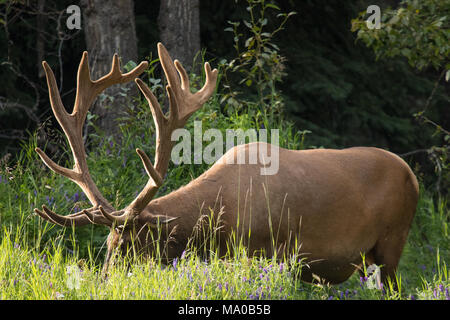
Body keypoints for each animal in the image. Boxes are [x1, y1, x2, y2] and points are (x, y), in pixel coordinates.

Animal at [34, 42, 418, 284]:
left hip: (393, 243)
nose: (103, 282)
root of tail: (413, 176)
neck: (221, 221)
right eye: (107, 245)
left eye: (129, 245)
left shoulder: (271, 251)